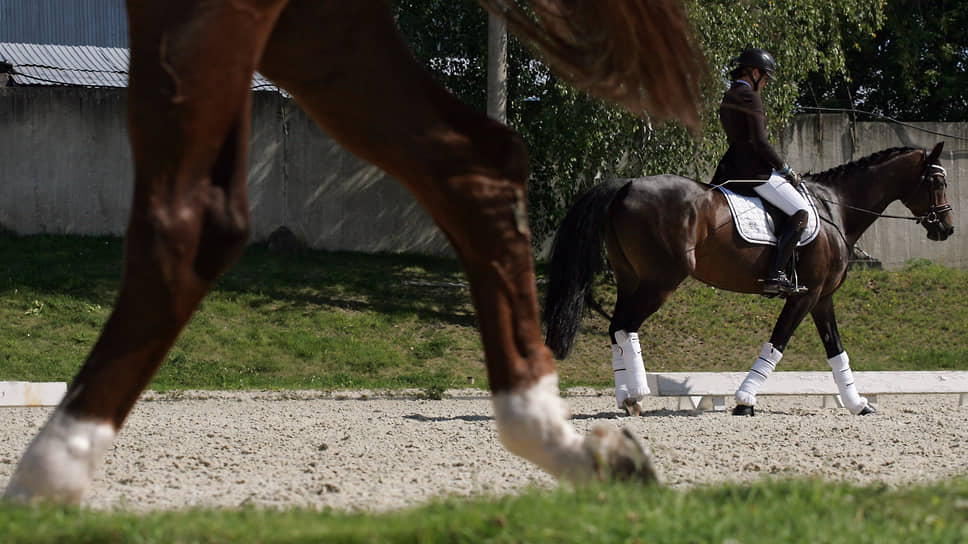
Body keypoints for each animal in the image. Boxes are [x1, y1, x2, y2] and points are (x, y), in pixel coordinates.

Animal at [544, 143, 952, 416]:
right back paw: (636, 395)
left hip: (632, 279)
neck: (835, 207)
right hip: (660, 281)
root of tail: (627, 184)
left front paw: (857, 404)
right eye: (936, 180)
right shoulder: (804, 296)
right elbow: (777, 344)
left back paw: (626, 398)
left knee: (616, 328)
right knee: (626, 326)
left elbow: (837, 351)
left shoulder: (822, 297)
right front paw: (744, 401)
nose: (946, 228)